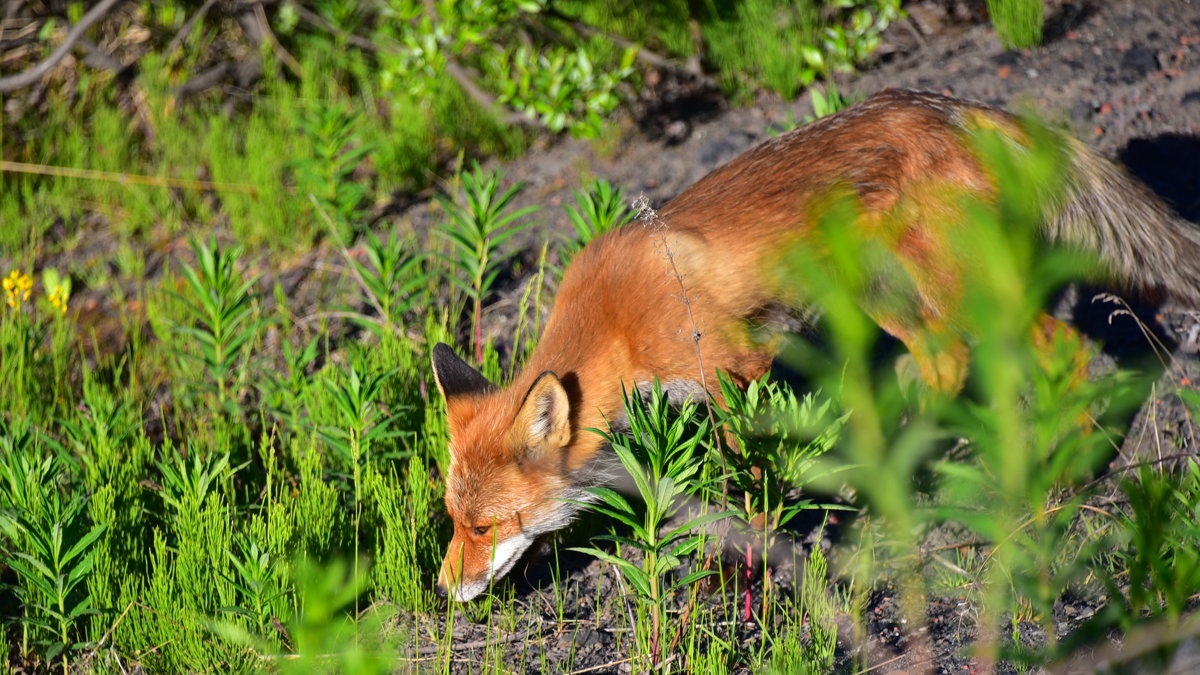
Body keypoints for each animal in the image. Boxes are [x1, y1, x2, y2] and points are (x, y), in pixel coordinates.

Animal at [432, 89, 1200, 598]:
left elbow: (749, 472)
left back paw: (1076, 464)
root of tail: (956, 105)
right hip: (885, 295)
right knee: (944, 362)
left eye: (485, 529)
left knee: (1067, 350)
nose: (441, 591)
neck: (616, 324)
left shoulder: (734, 366)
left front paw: (749, 553)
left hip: (965, 293)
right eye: (455, 522)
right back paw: (900, 460)